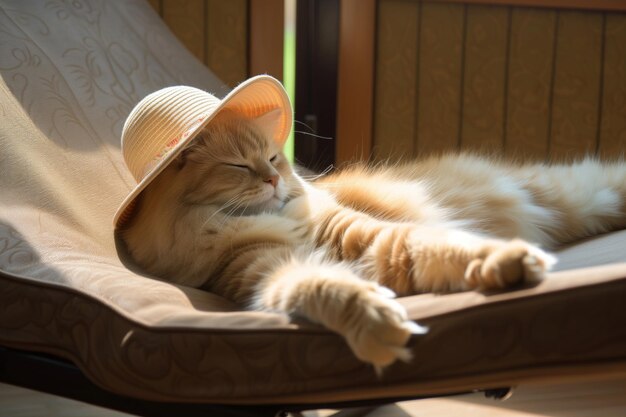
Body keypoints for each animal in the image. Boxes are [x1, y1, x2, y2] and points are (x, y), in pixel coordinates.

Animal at [120, 109, 624, 368]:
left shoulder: (363, 234)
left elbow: (444, 245)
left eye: (273, 158)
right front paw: (376, 320)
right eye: (239, 166)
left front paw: (504, 261)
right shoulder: (266, 270)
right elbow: (327, 288)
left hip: (584, 194)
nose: (273, 181)